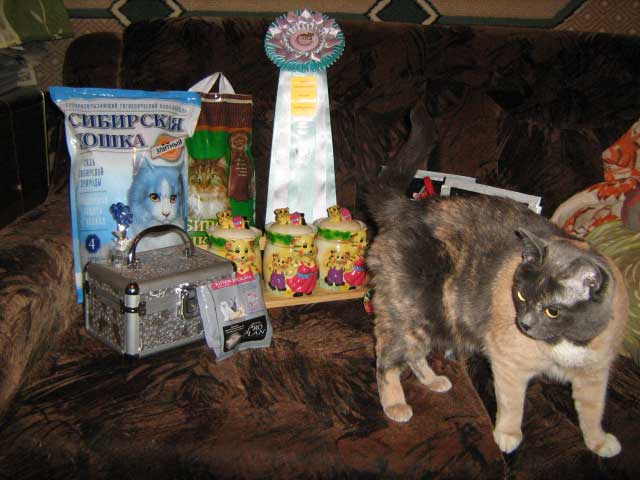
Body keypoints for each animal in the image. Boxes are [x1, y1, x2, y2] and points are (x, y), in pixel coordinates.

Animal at [365, 190, 628, 458]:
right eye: (521, 295)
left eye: (552, 310)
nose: (524, 323)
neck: (567, 341)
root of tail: (403, 207)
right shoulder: (509, 363)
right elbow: (512, 404)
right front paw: (508, 435)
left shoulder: (594, 374)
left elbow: (593, 410)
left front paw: (598, 441)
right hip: (409, 314)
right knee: (386, 361)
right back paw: (395, 404)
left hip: (429, 320)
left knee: (413, 355)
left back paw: (432, 380)